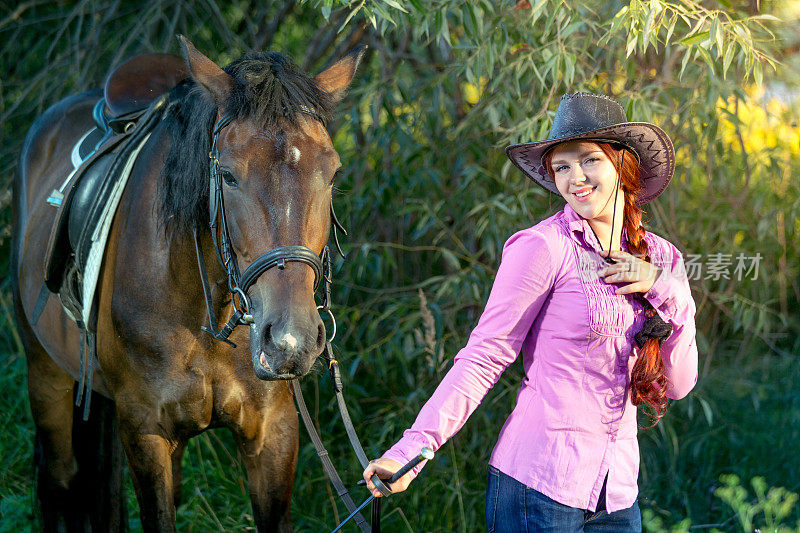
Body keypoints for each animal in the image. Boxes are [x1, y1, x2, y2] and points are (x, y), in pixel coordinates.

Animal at [10, 35, 366, 528]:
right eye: (228, 175)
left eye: (331, 173)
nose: (289, 341)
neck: (207, 315)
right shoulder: (145, 431)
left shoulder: (274, 433)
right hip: (45, 373)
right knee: (59, 479)